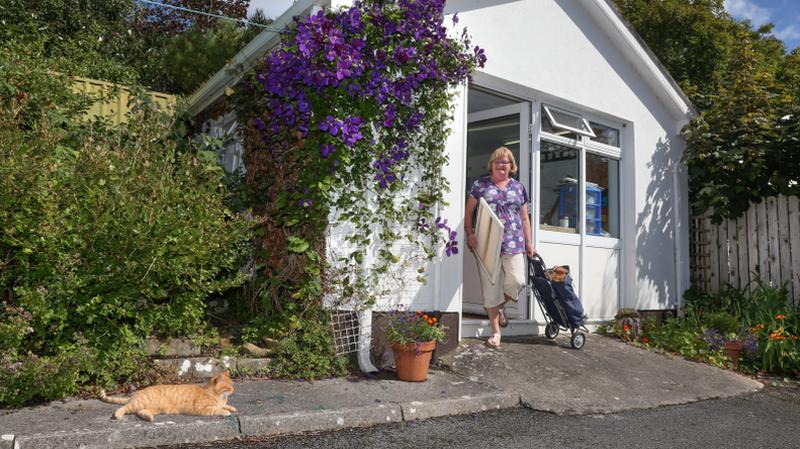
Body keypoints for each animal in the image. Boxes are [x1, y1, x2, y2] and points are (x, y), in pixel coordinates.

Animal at [99, 368, 236, 420]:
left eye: (232, 384)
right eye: (228, 387)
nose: (234, 390)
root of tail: (138, 392)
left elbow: (223, 405)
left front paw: (231, 407)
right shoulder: (201, 408)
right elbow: (217, 409)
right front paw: (225, 411)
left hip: (155, 409)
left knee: (141, 412)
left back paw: (149, 418)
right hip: (139, 403)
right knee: (124, 407)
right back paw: (118, 415)